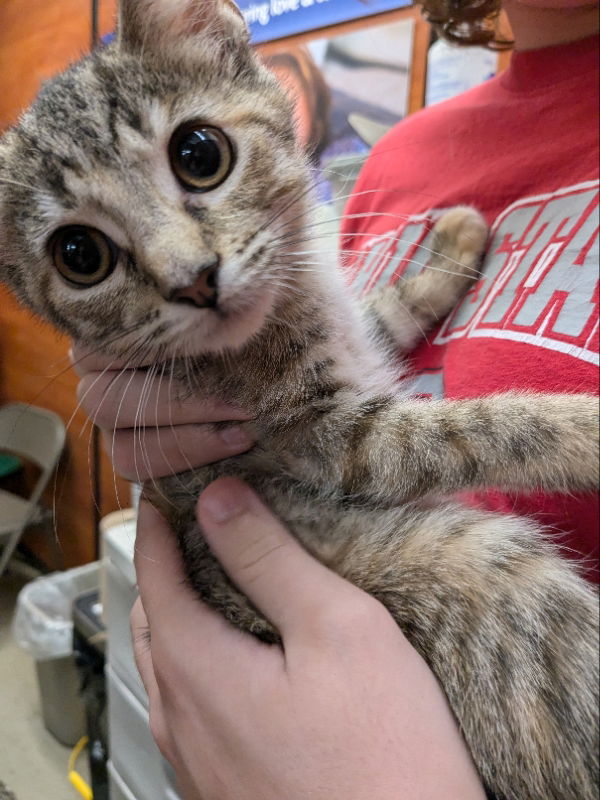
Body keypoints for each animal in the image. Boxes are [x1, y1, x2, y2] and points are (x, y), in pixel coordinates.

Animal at [0, 1, 596, 800]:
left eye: (199, 153)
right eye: (80, 256)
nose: (194, 280)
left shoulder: (356, 343)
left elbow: (387, 314)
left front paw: (452, 245)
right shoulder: (332, 440)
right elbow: (484, 428)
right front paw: (585, 428)